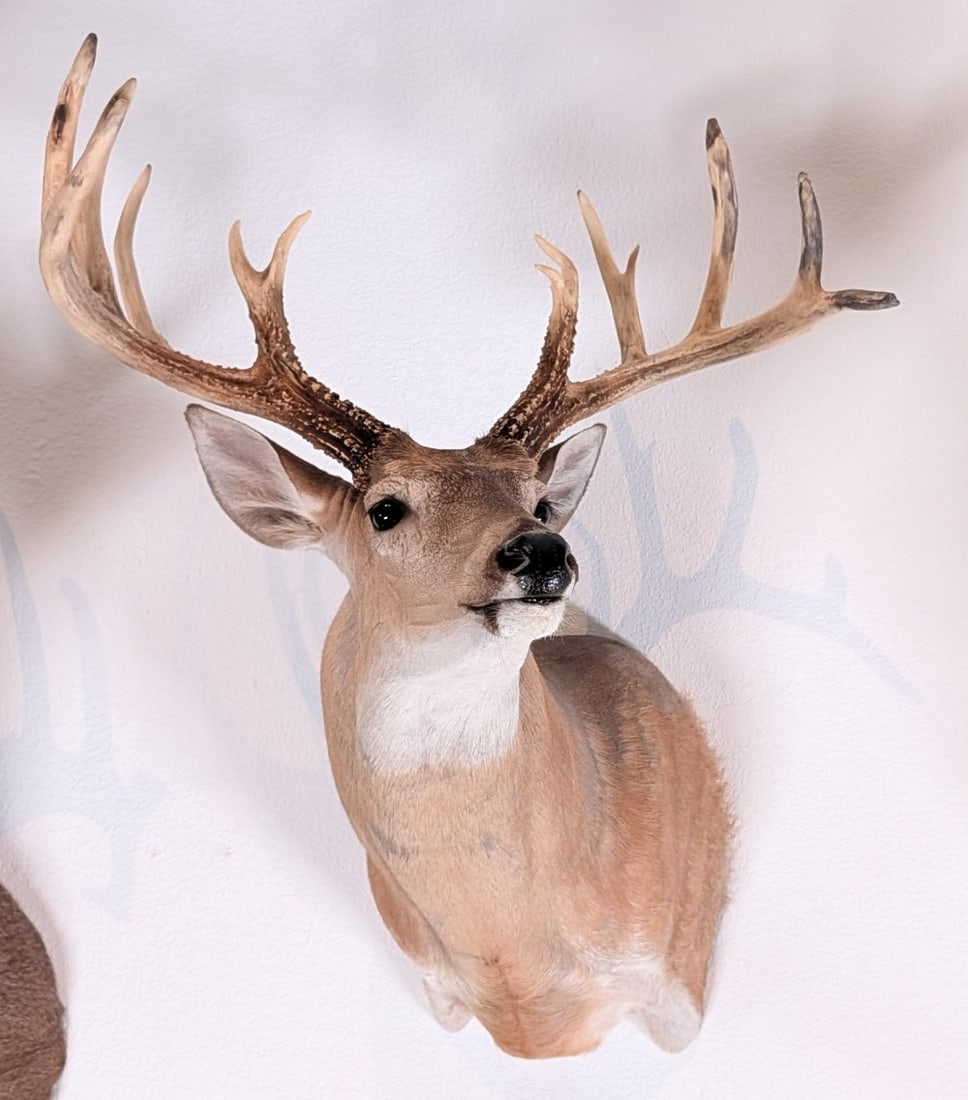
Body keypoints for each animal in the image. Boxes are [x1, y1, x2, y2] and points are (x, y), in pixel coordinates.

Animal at [38, 35, 897, 1058]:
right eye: (385, 510)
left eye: (542, 498)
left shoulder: (675, 985)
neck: (517, 958)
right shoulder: (436, 987)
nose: (540, 552)